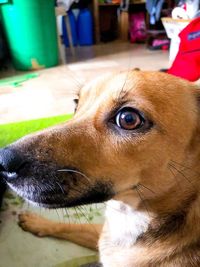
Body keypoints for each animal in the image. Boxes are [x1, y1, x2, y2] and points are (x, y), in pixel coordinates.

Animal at [0, 70, 200, 266]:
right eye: (76, 104)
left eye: (128, 119)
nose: (3, 161)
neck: (127, 214)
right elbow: (73, 226)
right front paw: (37, 222)